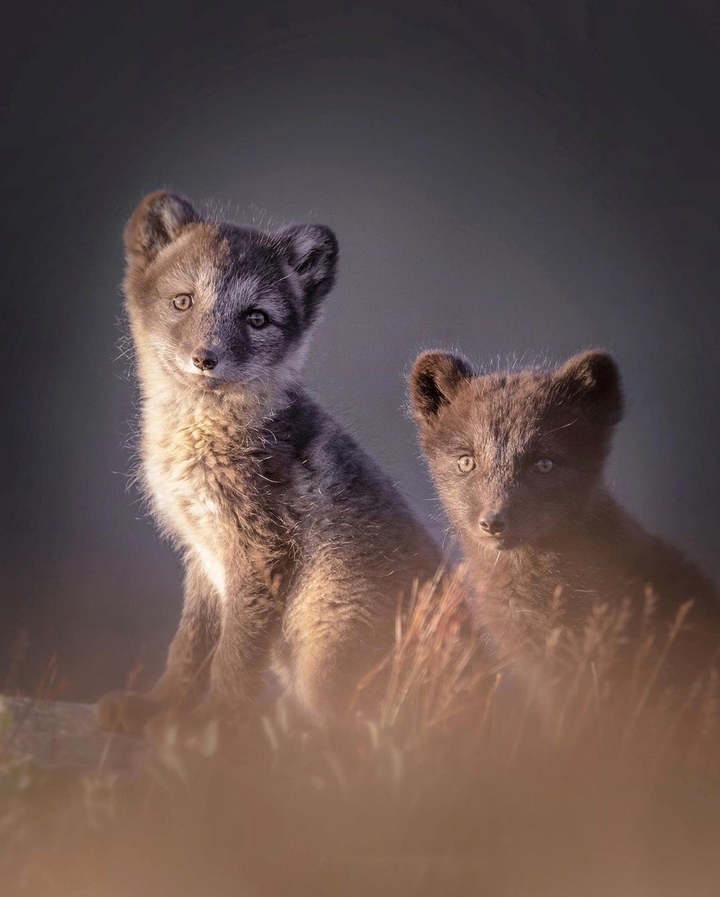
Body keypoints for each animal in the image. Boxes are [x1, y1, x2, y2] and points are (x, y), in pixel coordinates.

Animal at [97, 191, 441, 735]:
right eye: (182, 301)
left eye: (256, 318)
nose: (205, 358)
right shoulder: (204, 553)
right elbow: (188, 648)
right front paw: (158, 706)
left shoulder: (259, 548)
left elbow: (234, 658)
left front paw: (212, 725)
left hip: (327, 637)